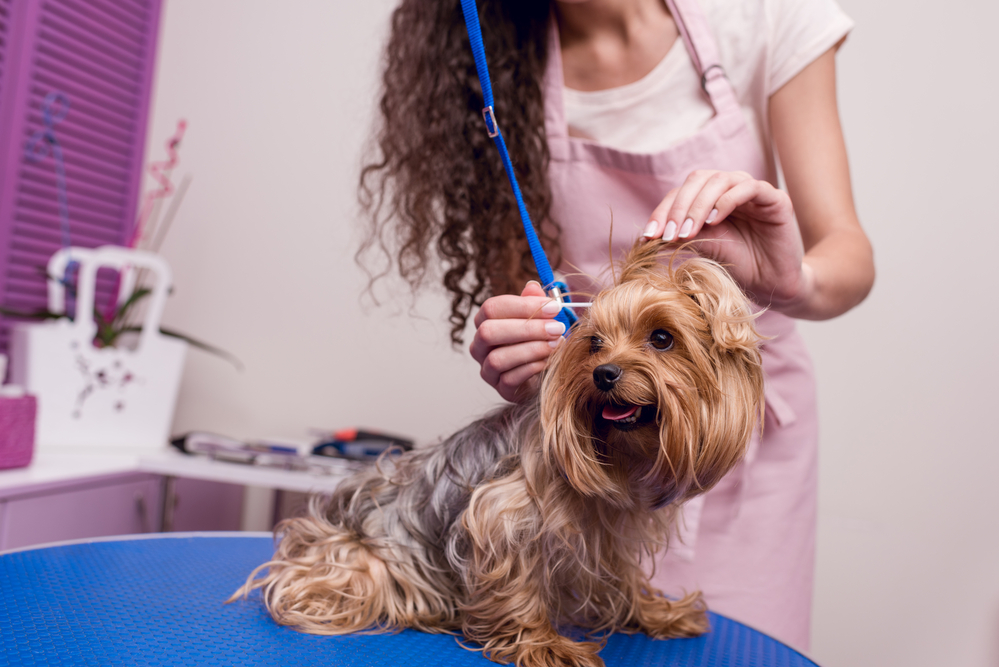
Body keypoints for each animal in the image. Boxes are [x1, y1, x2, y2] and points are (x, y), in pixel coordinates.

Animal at [234, 241, 764, 667]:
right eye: (594, 343)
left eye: (662, 338)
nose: (604, 374)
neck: (619, 455)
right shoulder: (501, 514)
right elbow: (517, 579)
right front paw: (543, 644)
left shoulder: (613, 532)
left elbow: (626, 578)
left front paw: (657, 611)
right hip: (362, 560)